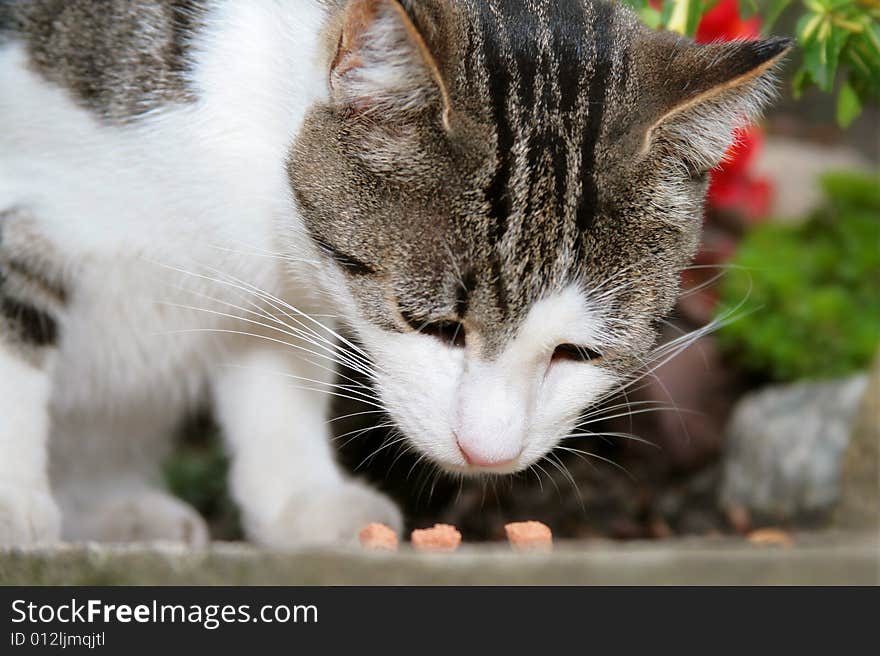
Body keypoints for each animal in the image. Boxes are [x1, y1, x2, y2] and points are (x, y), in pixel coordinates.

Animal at [0, 0, 788, 544]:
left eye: (578, 352)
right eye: (433, 325)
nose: (487, 453)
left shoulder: (285, 283)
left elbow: (274, 367)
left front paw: (301, 499)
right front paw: (14, 511)